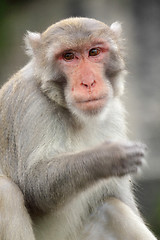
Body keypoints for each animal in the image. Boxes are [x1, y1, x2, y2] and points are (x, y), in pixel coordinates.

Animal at [0, 17, 157, 240]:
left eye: (94, 52)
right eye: (68, 56)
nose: (88, 82)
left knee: (112, 208)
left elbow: (118, 196)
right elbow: (33, 184)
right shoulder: (30, 103)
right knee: (5, 192)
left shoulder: (113, 112)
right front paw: (106, 158)